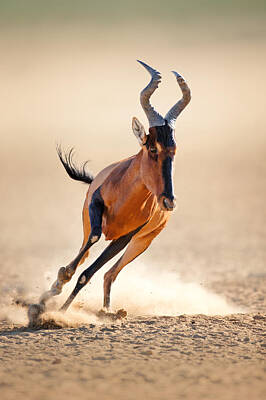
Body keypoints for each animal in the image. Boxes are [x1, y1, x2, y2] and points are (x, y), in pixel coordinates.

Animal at [29, 59, 191, 322]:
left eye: (173, 150)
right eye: (152, 148)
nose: (169, 202)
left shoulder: (125, 237)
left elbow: (88, 274)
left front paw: (59, 312)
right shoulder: (96, 209)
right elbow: (84, 255)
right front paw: (48, 305)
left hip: (139, 244)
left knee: (109, 274)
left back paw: (107, 311)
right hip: (90, 225)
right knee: (85, 256)